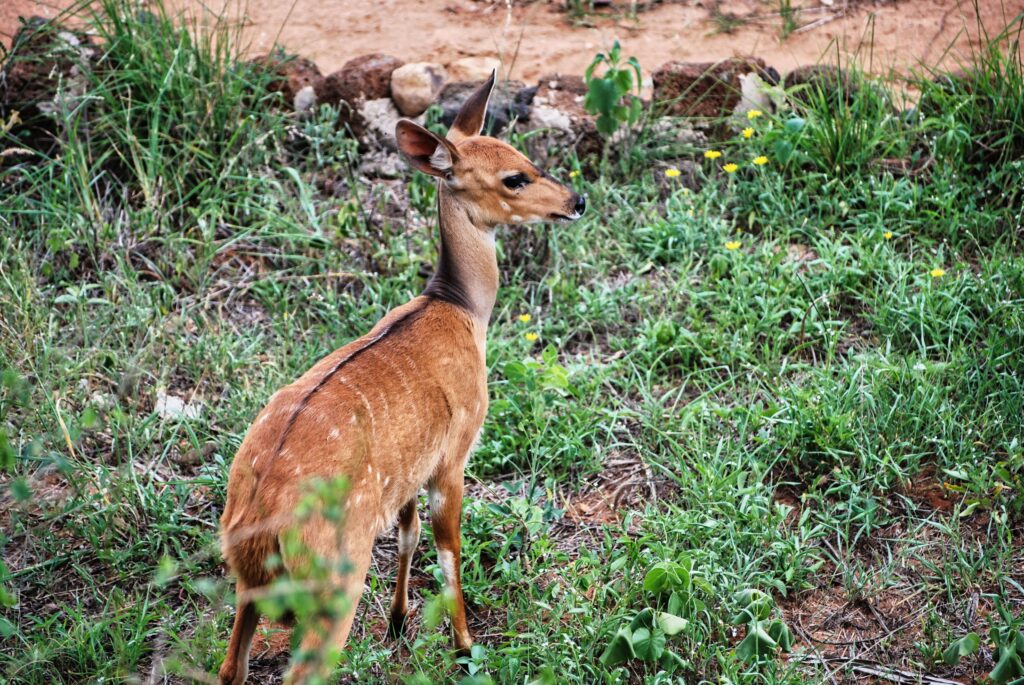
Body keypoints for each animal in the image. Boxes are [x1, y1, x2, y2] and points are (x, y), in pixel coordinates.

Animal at [216, 70, 585, 683]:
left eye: (525, 155)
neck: (459, 309)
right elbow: (449, 552)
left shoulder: (409, 470)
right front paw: (463, 646)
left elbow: (409, 535)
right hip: (335, 578)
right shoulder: (453, 456)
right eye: (514, 177)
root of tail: (261, 522)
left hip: (247, 581)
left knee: (231, 667)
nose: (576, 200)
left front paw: (397, 622)